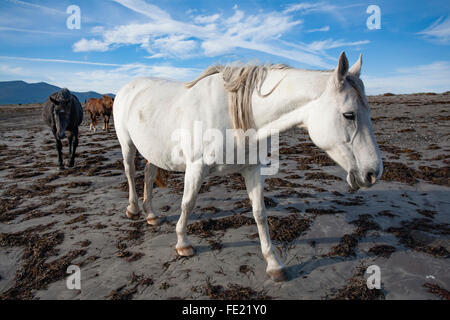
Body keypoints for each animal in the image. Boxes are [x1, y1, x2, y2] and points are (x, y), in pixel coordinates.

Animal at [113, 51, 384, 282]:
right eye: (349, 115)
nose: (373, 173)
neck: (234, 117)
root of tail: (126, 88)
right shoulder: (196, 167)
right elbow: (187, 204)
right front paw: (183, 244)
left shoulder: (253, 170)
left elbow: (259, 213)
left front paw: (274, 264)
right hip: (127, 144)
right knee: (130, 172)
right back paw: (133, 209)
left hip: (153, 151)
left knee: (148, 174)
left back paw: (151, 214)